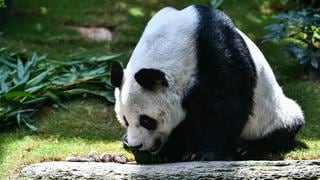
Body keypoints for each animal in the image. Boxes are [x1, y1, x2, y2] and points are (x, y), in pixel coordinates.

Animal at [110, 5, 304, 163]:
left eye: (146, 120)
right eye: (125, 120)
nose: (136, 145)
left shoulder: (217, 50)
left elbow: (227, 103)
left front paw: (201, 154)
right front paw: (165, 151)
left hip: (274, 114)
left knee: (282, 130)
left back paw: (246, 148)